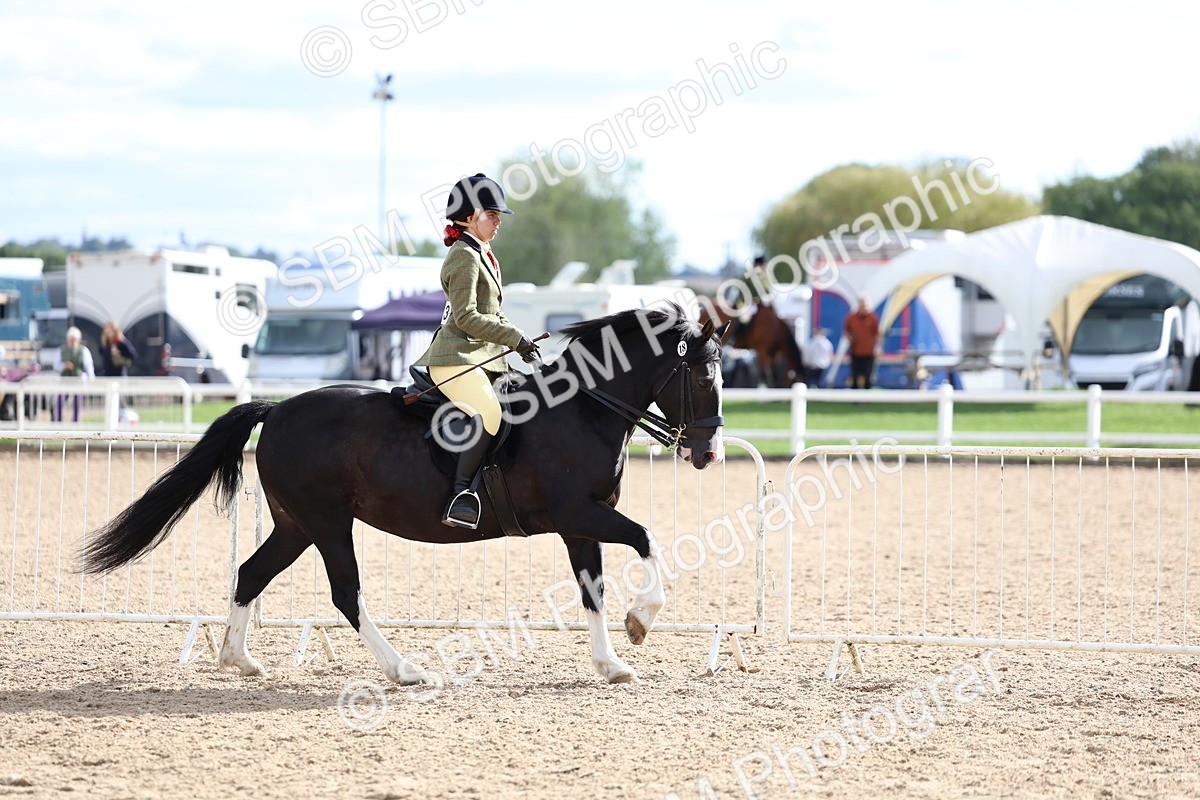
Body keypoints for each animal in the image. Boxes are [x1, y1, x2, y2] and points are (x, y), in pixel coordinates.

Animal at [80, 306, 730, 686]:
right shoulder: (580, 512)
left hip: (295, 525)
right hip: (327, 523)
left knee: (250, 572)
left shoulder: (579, 523)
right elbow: (646, 540)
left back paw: (239, 659)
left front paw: (612, 662)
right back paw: (406, 669)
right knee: (345, 594)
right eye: (702, 377)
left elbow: (592, 590)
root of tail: (278, 408)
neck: (580, 410)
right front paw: (640, 622)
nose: (708, 454)